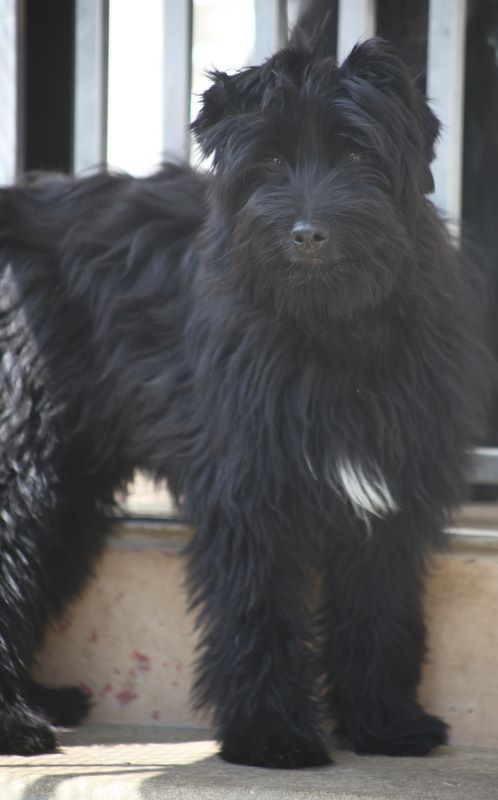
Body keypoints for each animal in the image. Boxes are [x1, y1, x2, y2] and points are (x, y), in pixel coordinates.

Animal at [0, 28, 488, 766]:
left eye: (357, 153)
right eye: (271, 161)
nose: (308, 234)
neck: (333, 332)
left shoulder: (392, 496)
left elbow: (379, 608)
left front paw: (384, 721)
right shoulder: (251, 487)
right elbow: (260, 608)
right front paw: (272, 734)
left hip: (67, 489)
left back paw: (43, 701)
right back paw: (17, 722)